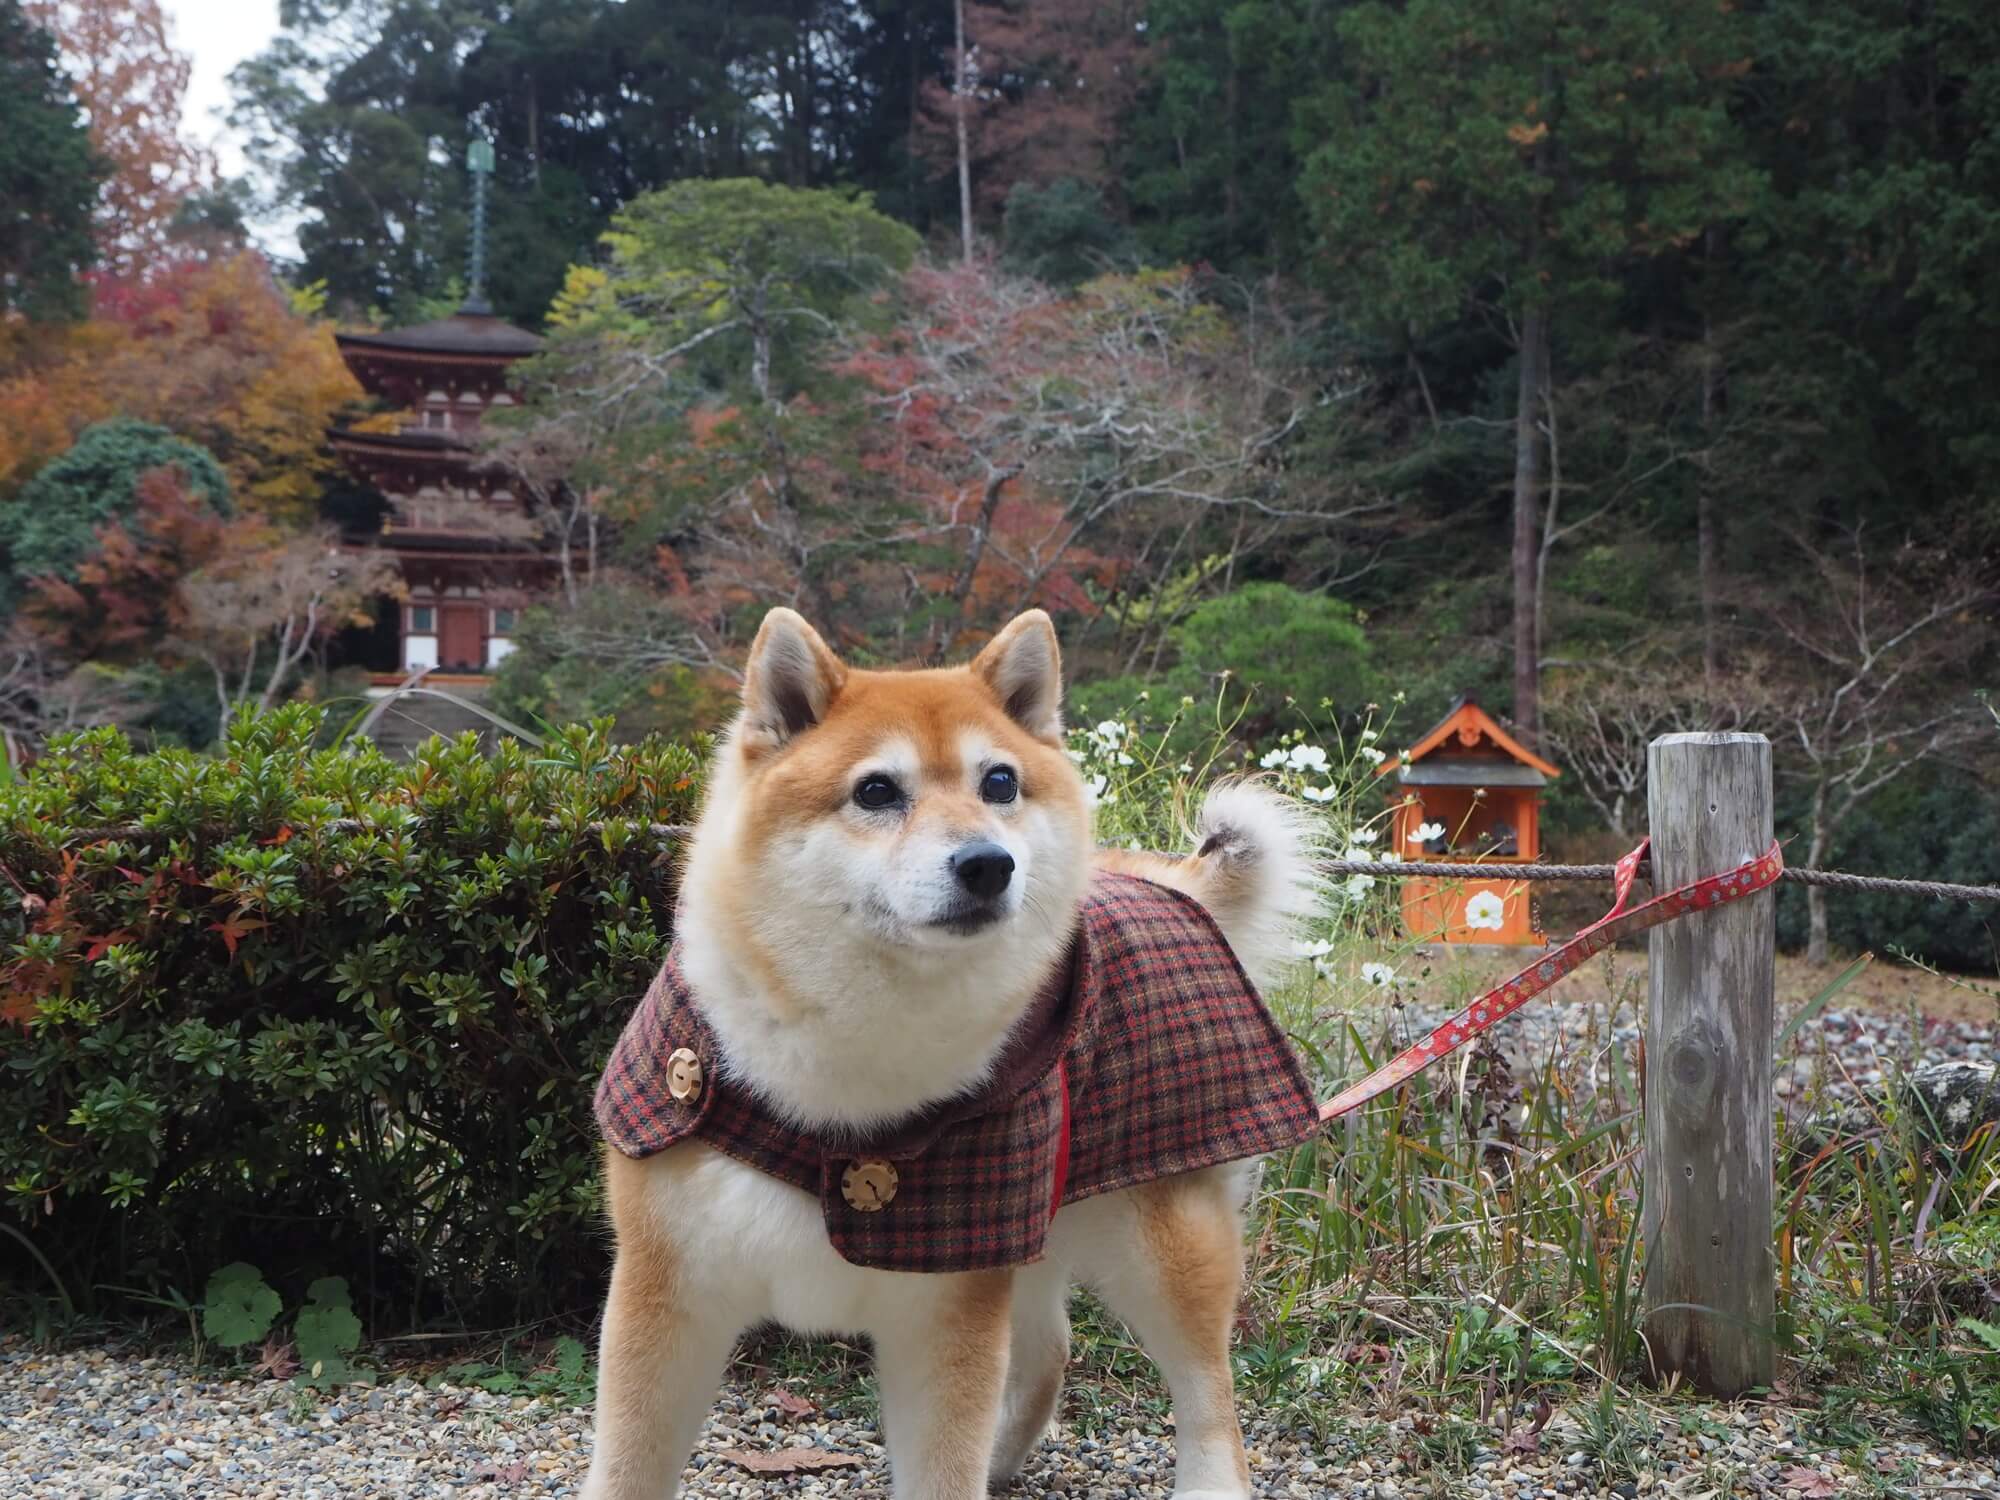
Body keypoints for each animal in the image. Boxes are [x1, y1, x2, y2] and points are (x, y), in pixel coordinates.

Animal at [584, 604, 1320, 1496]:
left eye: (998, 783)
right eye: (876, 790)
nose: (986, 863)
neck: (853, 1065)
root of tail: (1164, 882)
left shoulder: (946, 1312)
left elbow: (942, 1466)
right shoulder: (667, 1293)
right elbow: (627, 1467)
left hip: (1161, 1242)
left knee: (1208, 1389)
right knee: (1051, 1350)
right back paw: (1002, 1460)